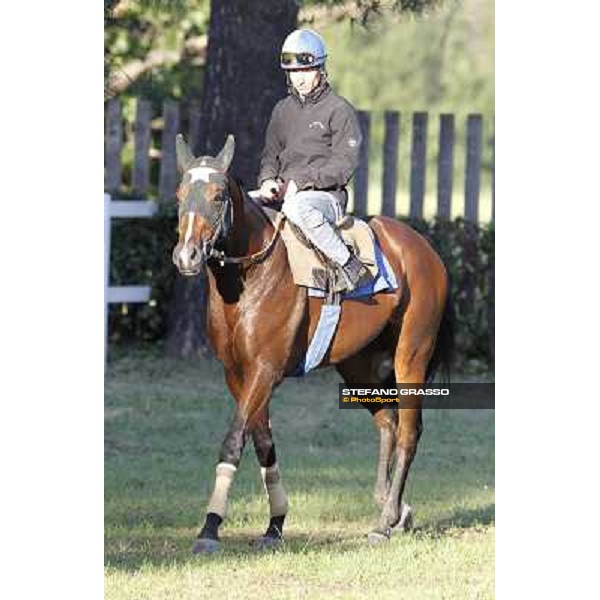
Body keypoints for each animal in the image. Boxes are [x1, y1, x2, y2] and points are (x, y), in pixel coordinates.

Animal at [171, 135, 452, 552]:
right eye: (179, 195)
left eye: (218, 195)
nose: (186, 255)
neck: (253, 276)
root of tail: (424, 249)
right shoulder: (237, 375)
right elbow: (263, 443)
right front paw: (274, 525)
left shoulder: (264, 371)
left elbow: (234, 440)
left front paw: (209, 528)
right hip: (358, 367)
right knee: (387, 423)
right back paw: (394, 506)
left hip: (411, 357)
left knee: (408, 431)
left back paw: (385, 521)